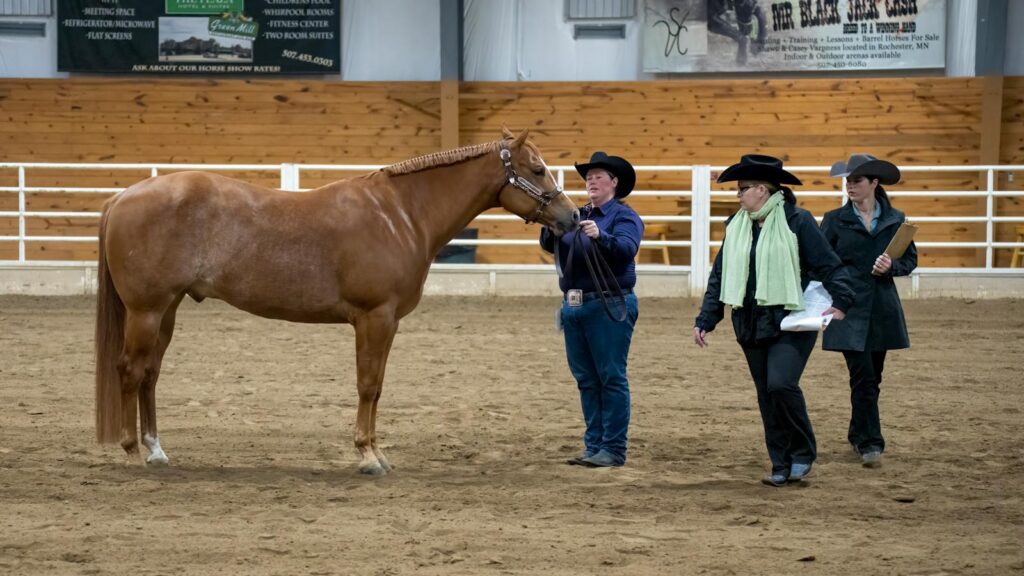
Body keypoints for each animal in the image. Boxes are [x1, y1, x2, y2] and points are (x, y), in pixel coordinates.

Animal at [94, 128, 579, 475]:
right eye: (537, 170)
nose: (573, 217)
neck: (400, 214)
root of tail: (122, 197)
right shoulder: (374, 318)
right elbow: (367, 384)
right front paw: (367, 457)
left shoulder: (389, 323)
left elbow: (377, 386)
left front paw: (377, 453)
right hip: (146, 311)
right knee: (131, 371)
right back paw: (132, 452)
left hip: (167, 310)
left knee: (150, 374)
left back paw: (157, 450)